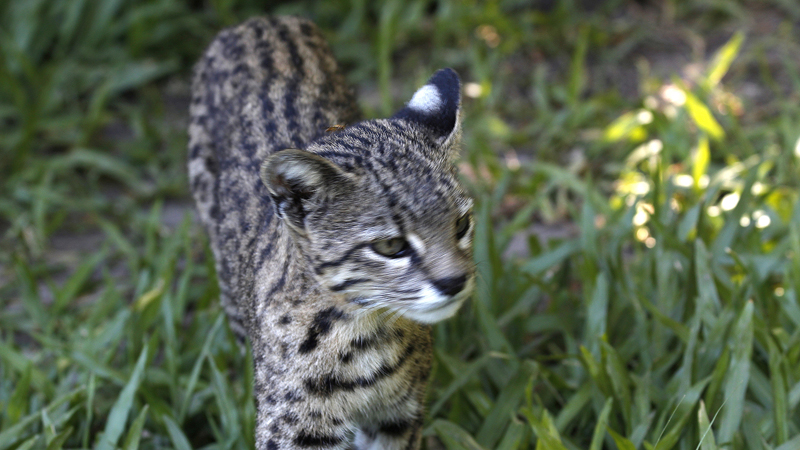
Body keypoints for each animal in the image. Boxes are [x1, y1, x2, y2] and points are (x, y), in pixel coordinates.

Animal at [188, 15, 476, 448]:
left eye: (461, 225)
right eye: (391, 245)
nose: (455, 282)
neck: (365, 330)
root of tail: (262, 19)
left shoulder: (400, 415)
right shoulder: (295, 427)